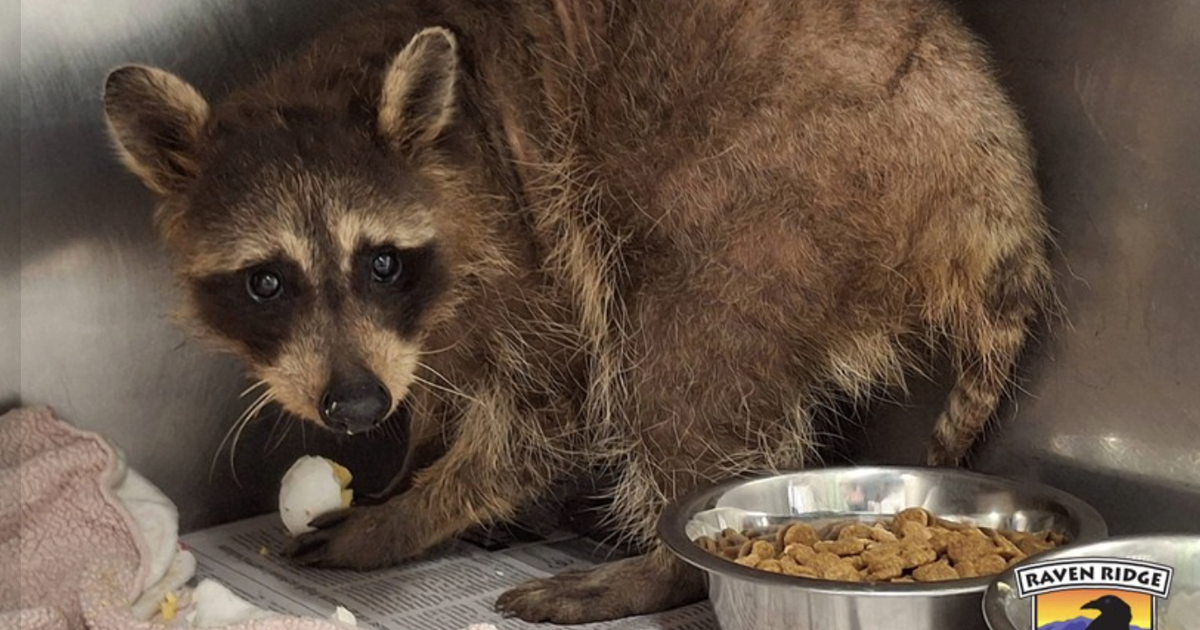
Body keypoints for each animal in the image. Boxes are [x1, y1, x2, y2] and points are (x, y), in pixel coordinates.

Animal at [101, 0, 1055, 623]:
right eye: (266, 282)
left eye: (381, 262)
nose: (356, 408)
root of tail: (987, 170)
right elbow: (439, 382)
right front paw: (417, 457)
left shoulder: (529, 237)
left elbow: (547, 412)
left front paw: (410, 513)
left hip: (786, 185)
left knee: (677, 356)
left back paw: (664, 568)